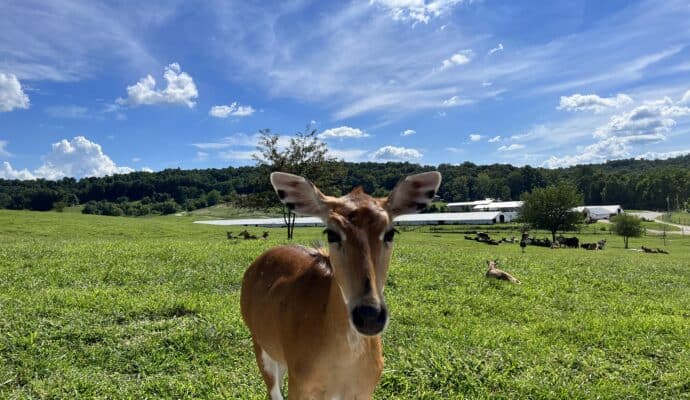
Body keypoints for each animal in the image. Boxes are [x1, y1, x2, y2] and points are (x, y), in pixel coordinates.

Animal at [239, 170, 438, 398]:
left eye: (390, 232)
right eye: (332, 233)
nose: (369, 316)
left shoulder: (366, 388)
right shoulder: (299, 383)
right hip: (259, 343)